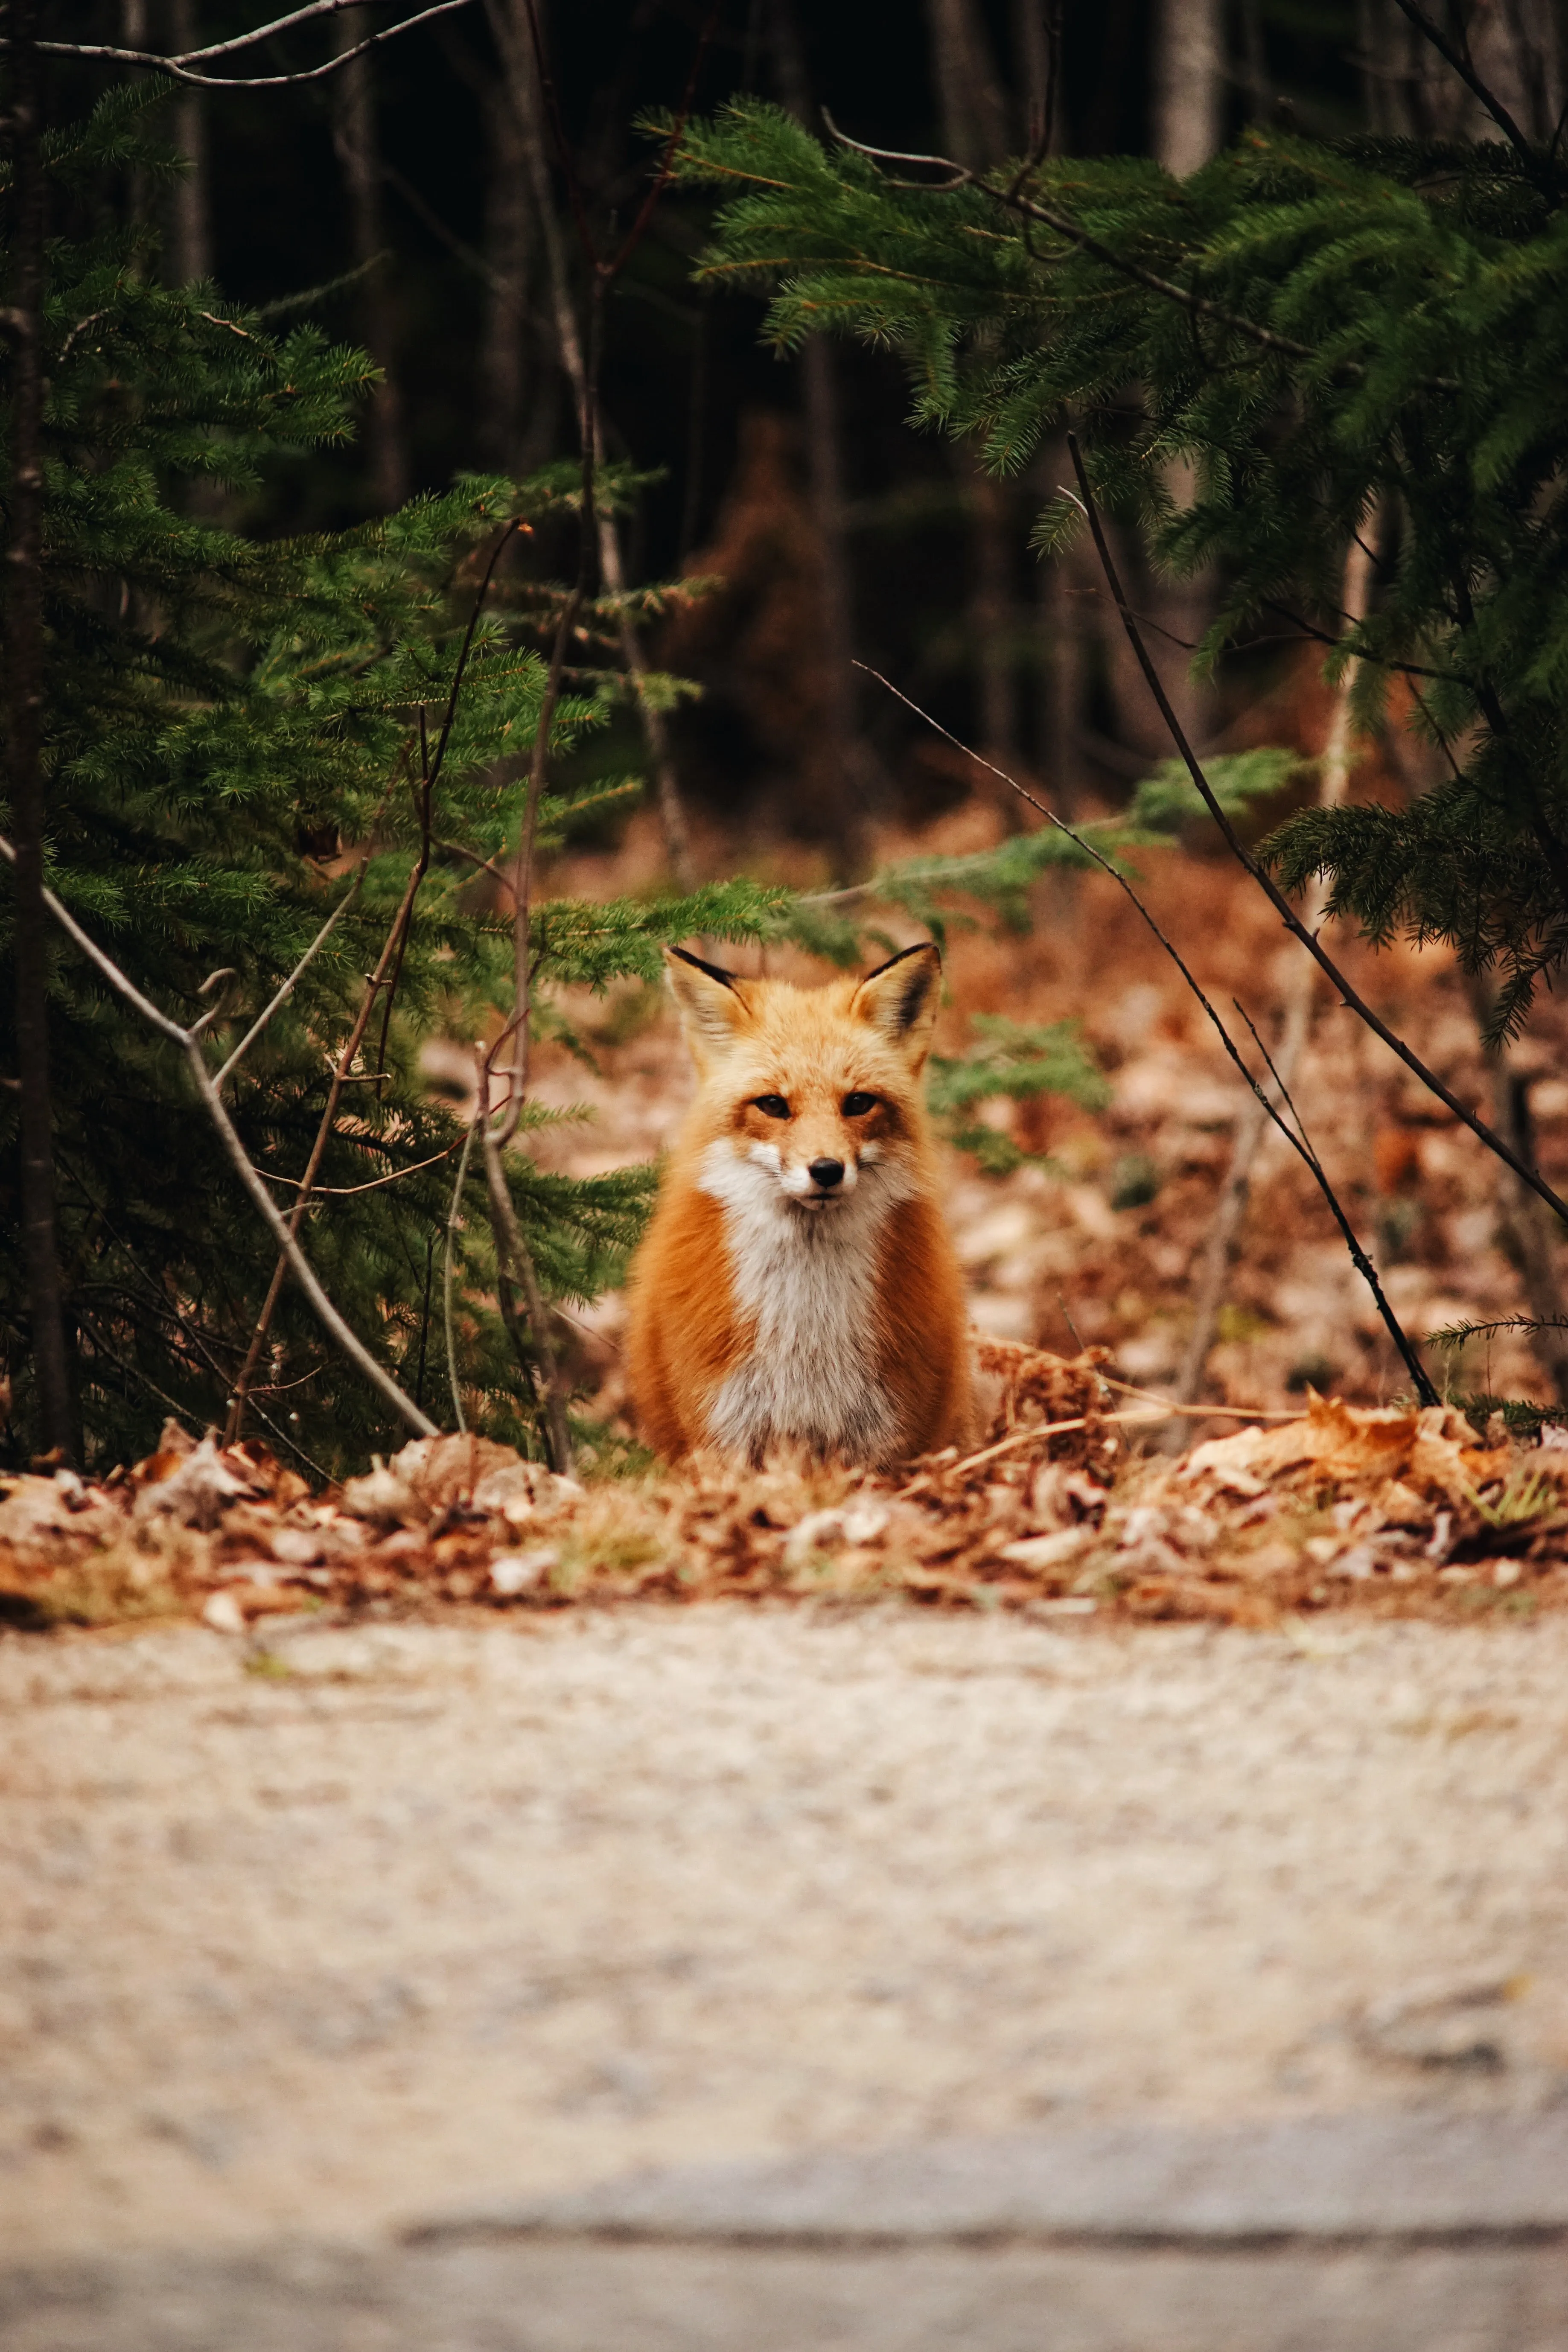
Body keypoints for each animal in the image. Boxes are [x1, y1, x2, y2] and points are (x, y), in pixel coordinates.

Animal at [626, 941, 974, 1467]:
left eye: (858, 1103)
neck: (806, 1341)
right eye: (773, 1105)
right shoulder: (722, 1432)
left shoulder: (887, 1438)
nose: (826, 1170)